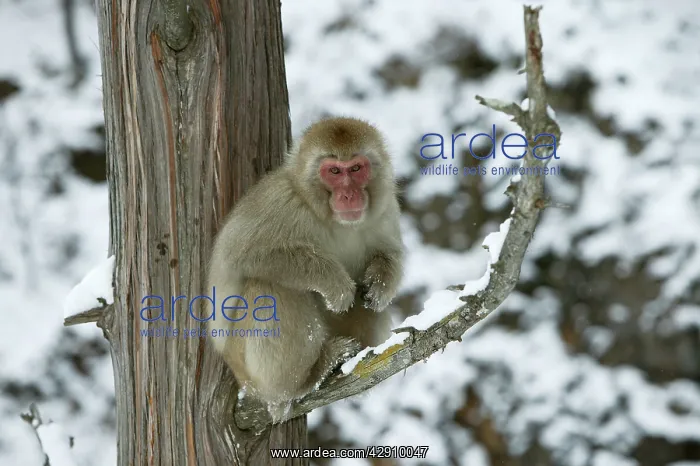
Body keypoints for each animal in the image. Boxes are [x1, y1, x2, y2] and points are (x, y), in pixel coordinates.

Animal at [206, 117, 404, 416]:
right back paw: (305, 380)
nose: (349, 195)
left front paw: (381, 283)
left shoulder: (386, 208)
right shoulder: (281, 201)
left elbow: (390, 252)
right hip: (249, 372)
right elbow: (239, 254)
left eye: (356, 168)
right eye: (334, 171)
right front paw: (335, 283)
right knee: (269, 287)